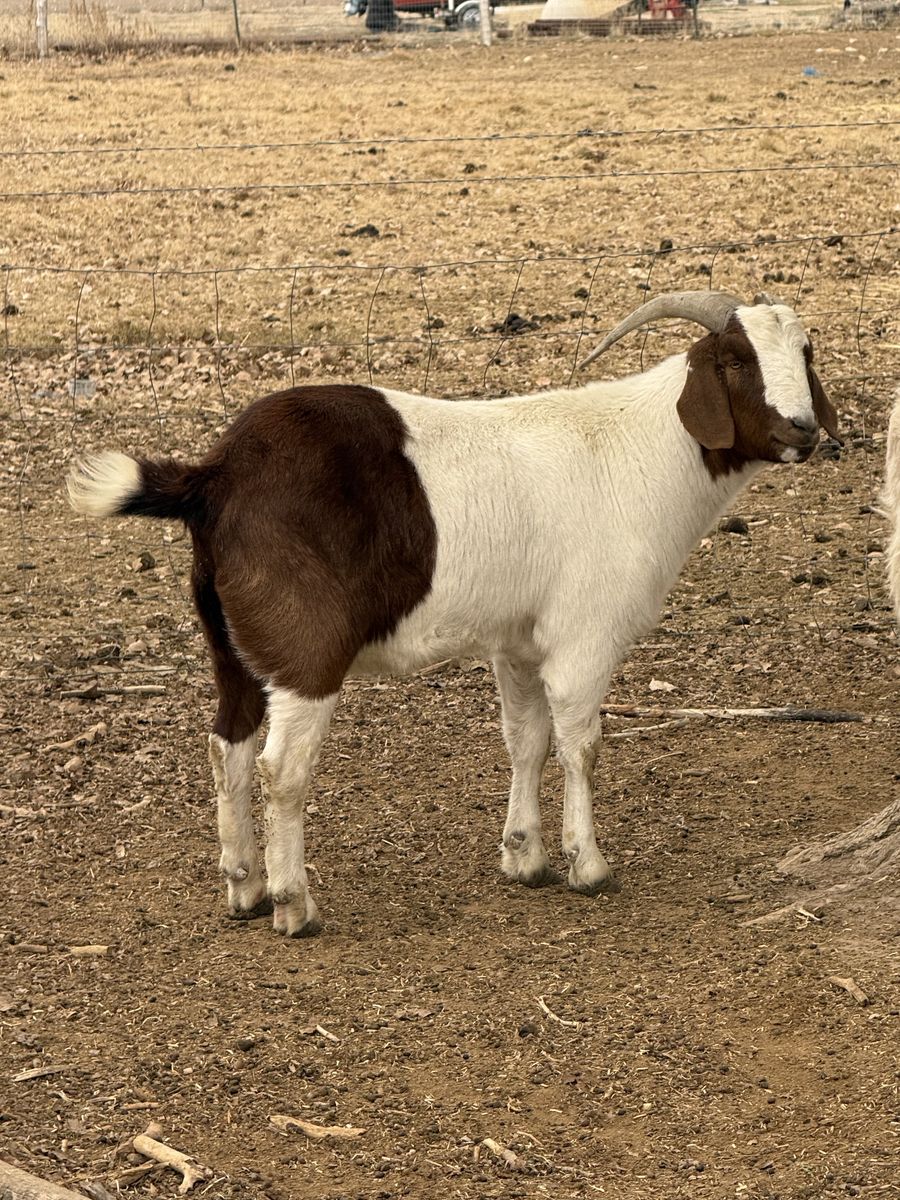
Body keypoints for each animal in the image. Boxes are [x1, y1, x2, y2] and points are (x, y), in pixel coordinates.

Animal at [68, 290, 839, 937]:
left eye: (804, 352)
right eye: (735, 360)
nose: (804, 428)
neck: (645, 449)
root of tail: (214, 477)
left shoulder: (518, 644)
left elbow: (526, 740)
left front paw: (524, 857)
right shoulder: (585, 637)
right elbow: (581, 744)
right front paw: (588, 865)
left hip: (229, 647)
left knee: (225, 744)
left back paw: (245, 888)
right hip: (304, 650)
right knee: (282, 767)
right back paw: (294, 905)